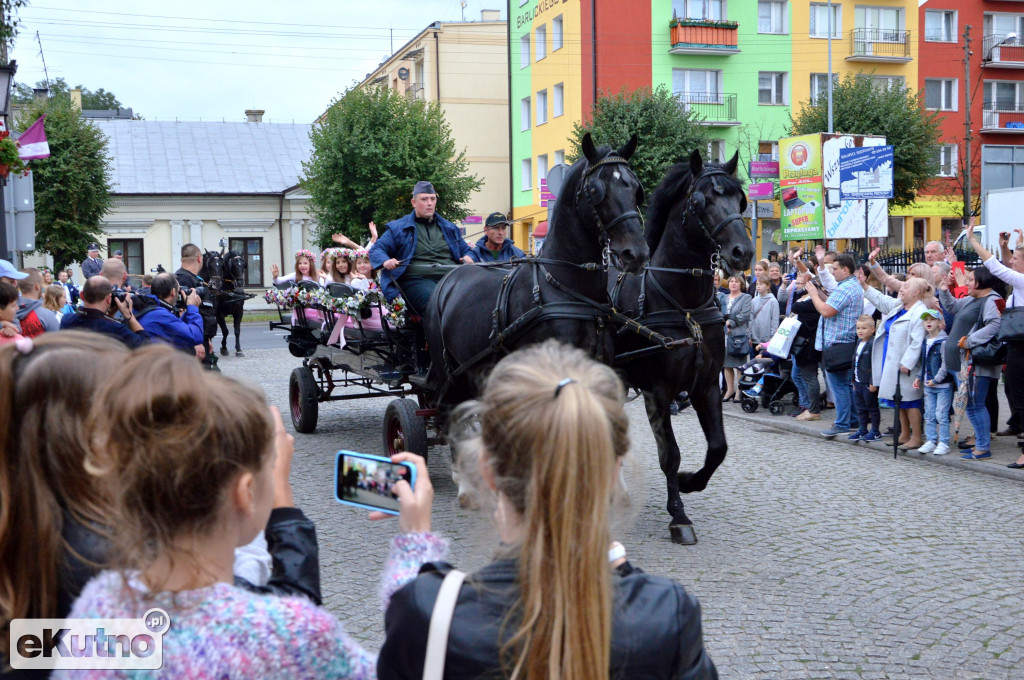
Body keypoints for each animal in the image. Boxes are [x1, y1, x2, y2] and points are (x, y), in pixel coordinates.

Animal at [423, 132, 647, 411]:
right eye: (596, 190)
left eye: (635, 188)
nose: (636, 253)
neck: (569, 290)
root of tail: (448, 278)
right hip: (450, 380)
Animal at [610, 151, 757, 544]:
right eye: (703, 201)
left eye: (740, 200)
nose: (742, 252)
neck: (683, 305)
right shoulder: (657, 391)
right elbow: (670, 454)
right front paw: (678, 515)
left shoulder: (706, 385)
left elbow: (718, 447)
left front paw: (689, 482)